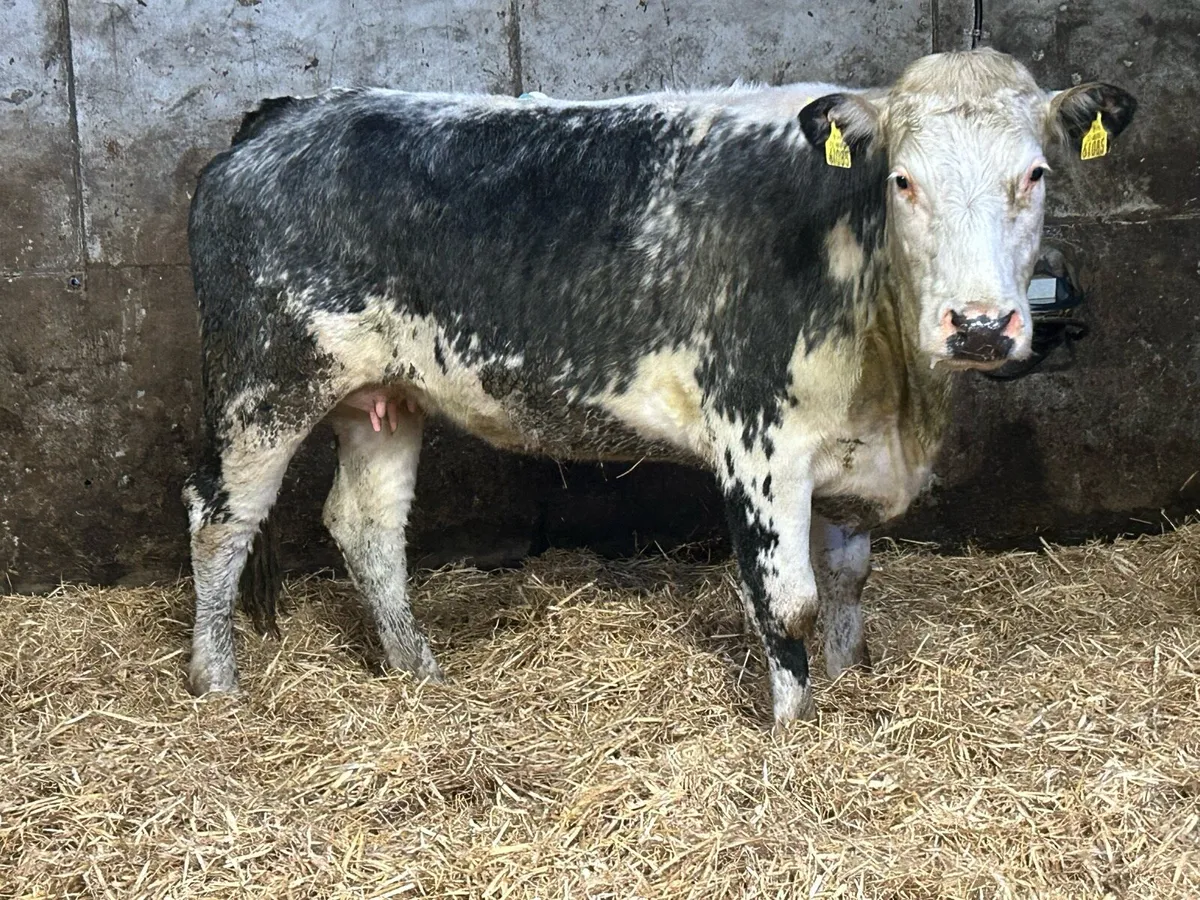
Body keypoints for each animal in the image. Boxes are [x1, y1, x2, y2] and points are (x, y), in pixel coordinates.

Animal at [182, 48, 1135, 725]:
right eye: (903, 180)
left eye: (1035, 175)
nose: (978, 325)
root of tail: (287, 115)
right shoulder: (760, 444)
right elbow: (789, 606)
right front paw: (794, 736)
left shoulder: (850, 455)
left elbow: (848, 588)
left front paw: (846, 682)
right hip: (262, 380)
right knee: (220, 519)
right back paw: (215, 682)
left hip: (383, 394)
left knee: (367, 525)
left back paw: (418, 671)